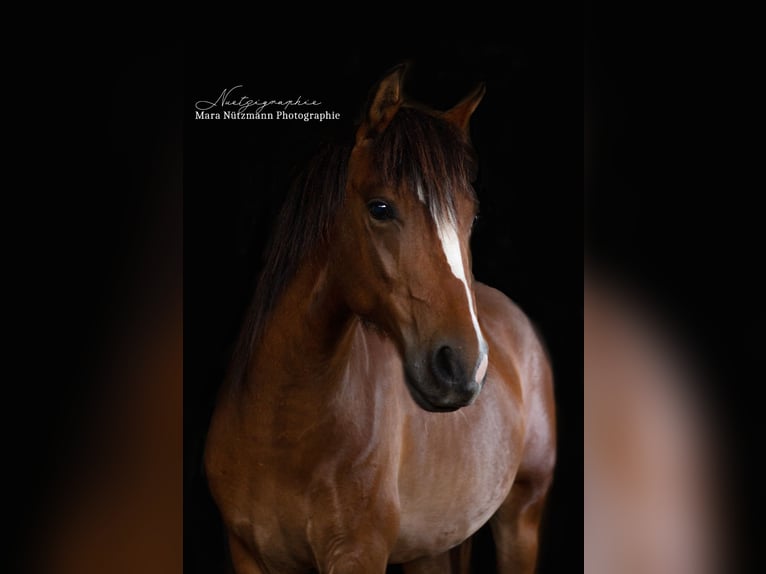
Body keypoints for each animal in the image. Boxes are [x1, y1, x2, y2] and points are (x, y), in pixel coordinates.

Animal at [204, 65, 560, 572]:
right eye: (380, 208)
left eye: (471, 217)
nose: (463, 367)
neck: (281, 431)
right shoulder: (248, 554)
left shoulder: (358, 555)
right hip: (434, 547)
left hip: (521, 518)